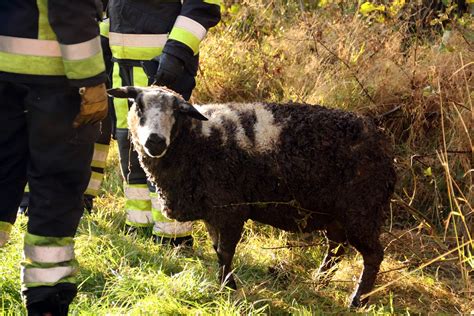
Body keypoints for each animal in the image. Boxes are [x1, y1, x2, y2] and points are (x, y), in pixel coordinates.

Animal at [109, 86, 398, 306]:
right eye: (139, 107)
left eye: (177, 111)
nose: (155, 141)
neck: (195, 142)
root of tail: (384, 144)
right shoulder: (212, 212)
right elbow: (217, 249)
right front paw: (223, 284)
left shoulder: (231, 209)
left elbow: (225, 251)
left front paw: (229, 287)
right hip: (334, 213)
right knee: (336, 248)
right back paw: (320, 280)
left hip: (362, 210)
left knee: (373, 255)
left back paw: (358, 299)